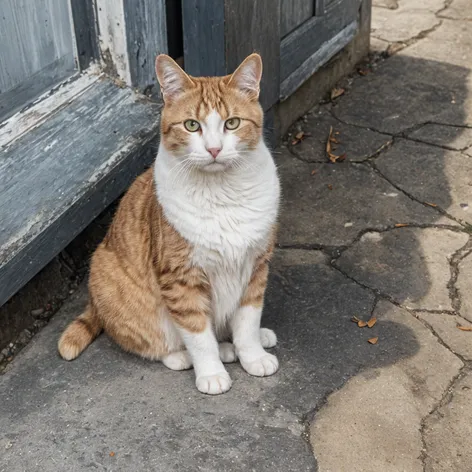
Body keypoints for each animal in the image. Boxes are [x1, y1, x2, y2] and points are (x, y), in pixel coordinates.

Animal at [58, 53, 280, 394]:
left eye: (232, 123)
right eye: (192, 125)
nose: (214, 149)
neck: (222, 194)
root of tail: (94, 302)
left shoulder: (256, 267)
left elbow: (247, 323)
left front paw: (252, 354)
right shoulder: (180, 279)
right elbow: (199, 336)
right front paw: (211, 373)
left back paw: (248, 341)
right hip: (110, 274)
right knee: (151, 342)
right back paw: (188, 355)